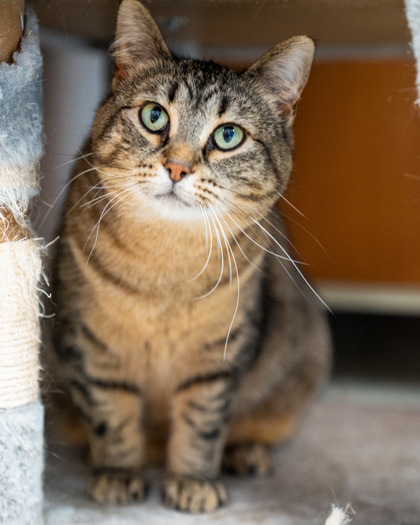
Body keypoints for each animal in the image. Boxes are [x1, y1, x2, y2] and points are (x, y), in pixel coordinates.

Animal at [53, 0, 332, 512]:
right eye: (153, 117)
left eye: (228, 136)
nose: (178, 167)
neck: (165, 265)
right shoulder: (91, 344)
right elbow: (110, 415)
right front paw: (118, 472)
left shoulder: (218, 355)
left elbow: (202, 424)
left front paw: (193, 480)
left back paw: (245, 454)